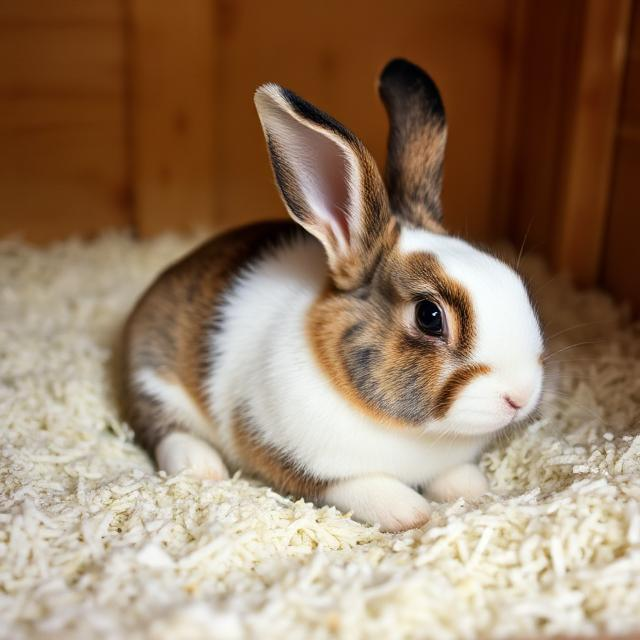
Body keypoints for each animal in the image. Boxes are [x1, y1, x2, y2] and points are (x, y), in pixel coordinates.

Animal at [122, 58, 544, 533]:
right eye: (429, 316)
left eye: (513, 278)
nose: (521, 397)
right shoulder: (282, 450)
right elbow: (349, 485)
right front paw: (407, 511)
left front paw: (471, 488)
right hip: (154, 376)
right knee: (162, 425)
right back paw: (200, 466)